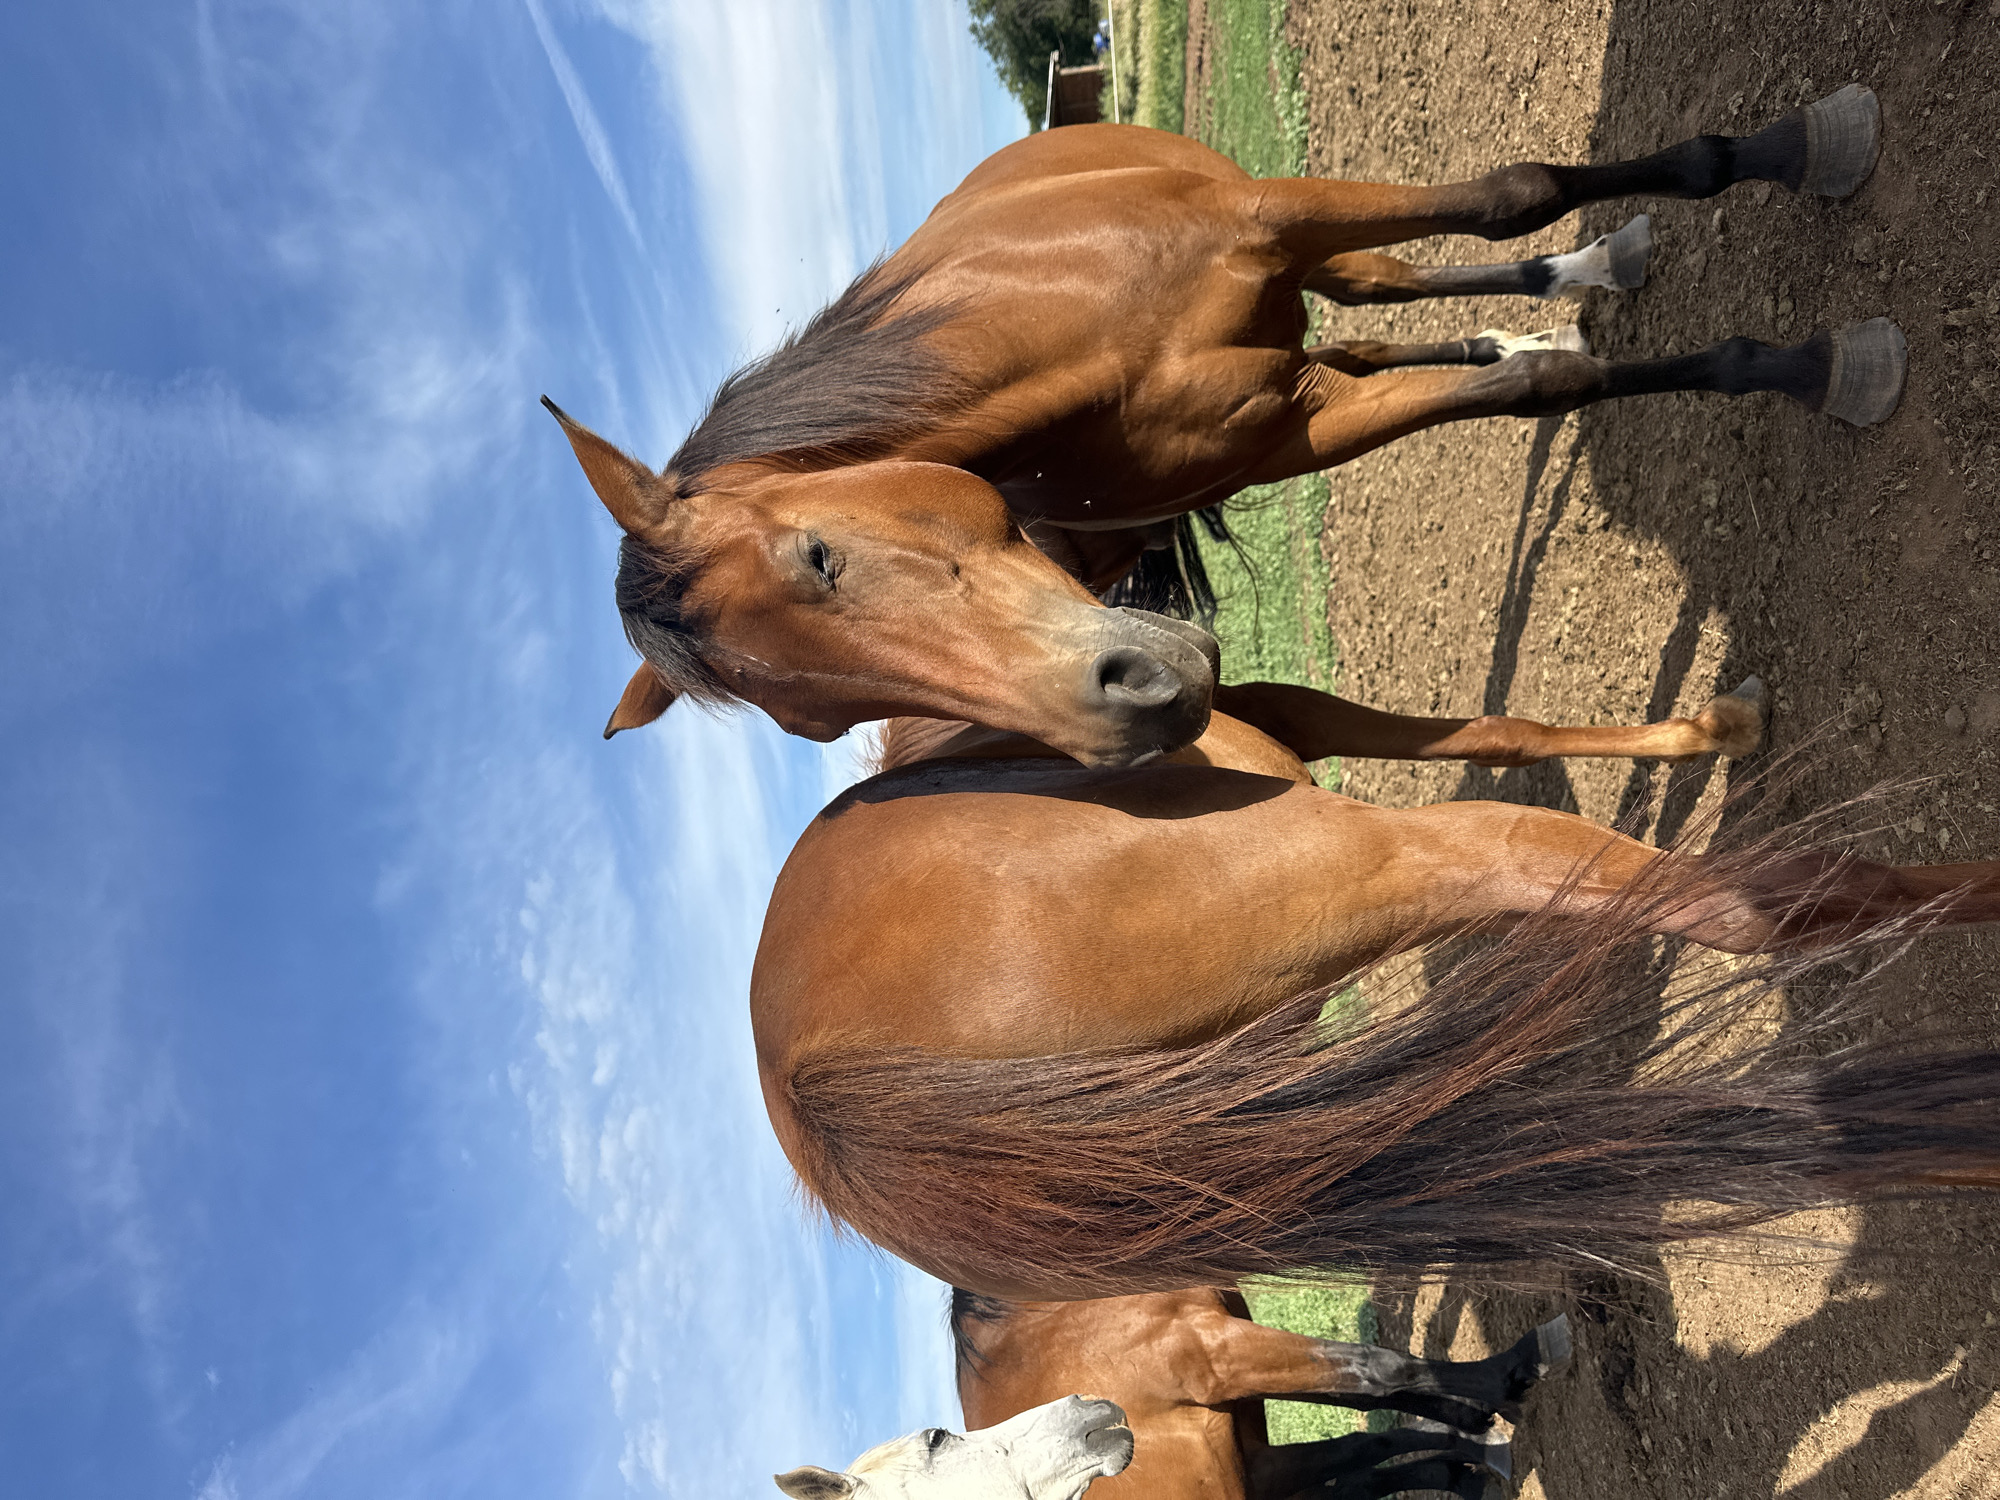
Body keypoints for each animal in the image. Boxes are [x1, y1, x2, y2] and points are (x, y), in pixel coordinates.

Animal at [546, 83, 1897, 769]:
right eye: (812, 723)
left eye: (817, 558)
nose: (1122, 728)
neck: (1075, 330)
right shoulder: (1288, 429)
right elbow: (1528, 390)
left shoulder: (1277, 217)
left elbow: (1510, 192)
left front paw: (1815, 301)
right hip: (1303, 337)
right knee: (1382, 325)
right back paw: (1541, 312)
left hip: (1295, 241)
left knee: (1417, 267)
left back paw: (1594, 262)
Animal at [772, 1293, 1573, 1500]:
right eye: (937, 1440)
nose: (1089, 1411)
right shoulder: (1216, 1355)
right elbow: (1378, 1371)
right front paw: (1512, 1375)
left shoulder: (1250, 1451)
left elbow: (1365, 1431)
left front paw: (1473, 1438)